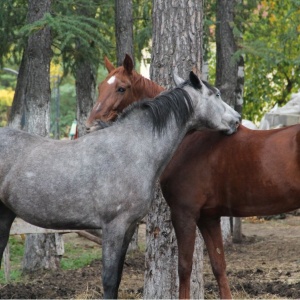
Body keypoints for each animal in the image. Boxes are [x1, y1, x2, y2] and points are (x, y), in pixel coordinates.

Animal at [0, 71, 240, 298]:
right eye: (217, 94)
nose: (237, 119)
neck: (132, 149)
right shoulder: (113, 227)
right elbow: (109, 280)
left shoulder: (129, 227)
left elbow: (117, 279)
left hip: (5, 215)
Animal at [88, 55, 300, 298]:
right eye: (100, 86)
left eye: (121, 88)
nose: (90, 125)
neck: (190, 141)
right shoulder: (208, 217)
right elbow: (219, 267)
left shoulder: (184, 214)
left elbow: (184, 268)